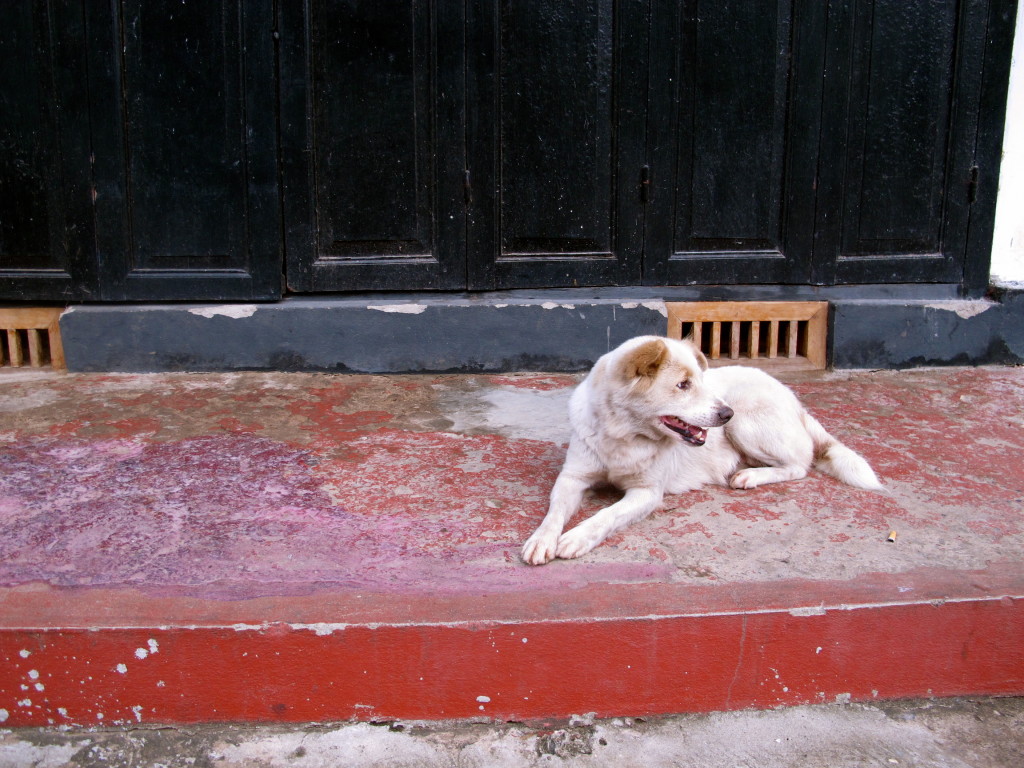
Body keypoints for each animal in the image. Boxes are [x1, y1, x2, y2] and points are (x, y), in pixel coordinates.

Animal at [520, 335, 880, 565]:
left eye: (699, 382)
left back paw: (751, 475)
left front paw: (577, 537)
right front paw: (542, 539)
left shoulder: (647, 492)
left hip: (746, 421)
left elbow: (607, 515)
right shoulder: (572, 477)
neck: (623, 436)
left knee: (800, 464)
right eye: (683, 385)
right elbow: (554, 513)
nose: (725, 413)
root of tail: (795, 401)